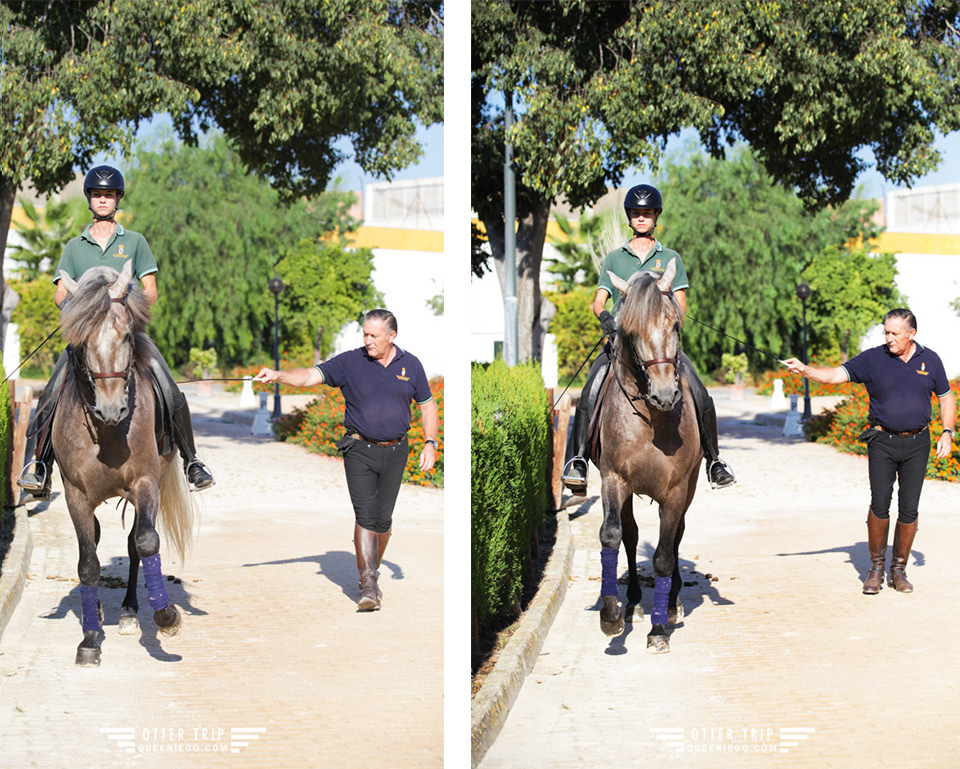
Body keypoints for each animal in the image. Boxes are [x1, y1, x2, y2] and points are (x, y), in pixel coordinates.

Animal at [52, 260, 197, 664]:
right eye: (82, 342)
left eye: (128, 335)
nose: (112, 408)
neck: (107, 434)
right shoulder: (75, 495)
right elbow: (88, 562)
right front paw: (89, 639)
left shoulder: (145, 483)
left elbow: (146, 543)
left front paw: (166, 617)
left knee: (134, 545)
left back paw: (132, 611)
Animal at [596, 260, 700, 656]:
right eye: (630, 331)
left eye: (675, 324)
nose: (665, 395)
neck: (651, 418)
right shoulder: (613, 480)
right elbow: (612, 535)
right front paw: (611, 616)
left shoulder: (675, 491)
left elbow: (664, 555)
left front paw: (658, 630)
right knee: (629, 534)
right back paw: (634, 603)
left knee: (676, 538)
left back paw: (670, 605)